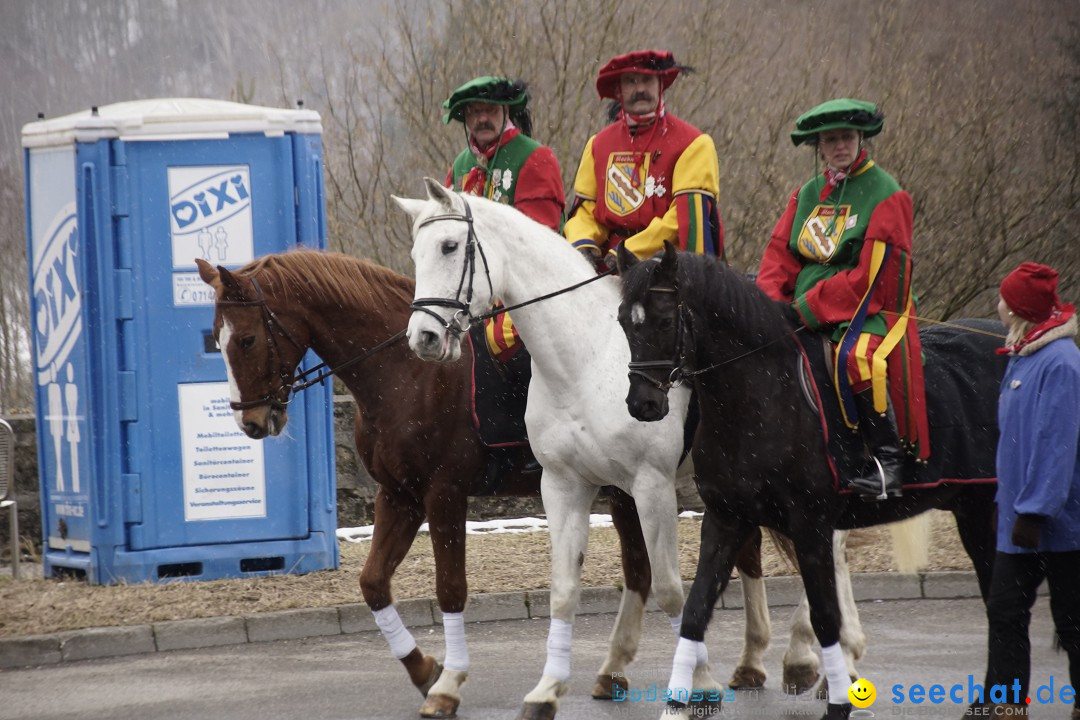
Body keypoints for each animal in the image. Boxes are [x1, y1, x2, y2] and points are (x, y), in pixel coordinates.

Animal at [393, 179, 889, 716]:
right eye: (415, 253)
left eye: (449, 246)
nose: (424, 337)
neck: (585, 362)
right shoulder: (566, 486)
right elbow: (565, 590)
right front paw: (547, 690)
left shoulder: (652, 488)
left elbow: (673, 591)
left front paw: (699, 683)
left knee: (830, 550)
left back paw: (818, 659)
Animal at [622, 243, 1006, 720]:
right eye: (623, 321)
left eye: (663, 321)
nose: (642, 404)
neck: (761, 394)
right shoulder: (726, 519)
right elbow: (695, 611)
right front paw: (676, 706)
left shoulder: (811, 525)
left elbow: (826, 616)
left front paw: (839, 700)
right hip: (972, 509)